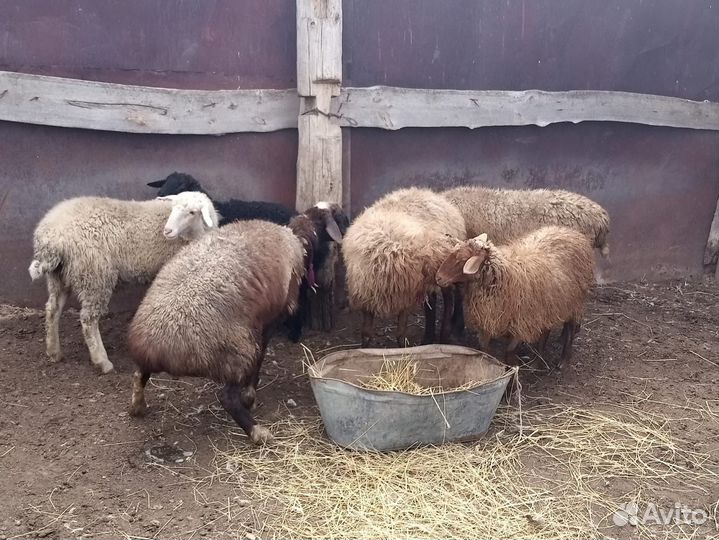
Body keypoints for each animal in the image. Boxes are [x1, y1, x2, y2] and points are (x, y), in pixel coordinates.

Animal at [28, 192, 218, 374]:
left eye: (192, 212)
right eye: (173, 208)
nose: (168, 231)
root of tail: (50, 239)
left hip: (59, 276)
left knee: (52, 309)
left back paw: (54, 352)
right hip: (95, 275)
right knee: (88, 319)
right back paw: (102, 361)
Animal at [126, 207, 344, 444]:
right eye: (338, 216)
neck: (298, 238)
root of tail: (157, 347)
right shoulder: (268, 321)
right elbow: (260, 356)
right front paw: (249, 396)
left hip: (166, 357)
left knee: (140, 374)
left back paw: (137, 406)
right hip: (235, 352)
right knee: (226, 397)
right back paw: (257, 431)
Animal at [342, 187, 466, 347]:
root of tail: (429, 193)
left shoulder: (404, 299)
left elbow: (401, 334)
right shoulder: (367, 298)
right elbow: (366, 334)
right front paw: (365, 348)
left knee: (450, 298)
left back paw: (445, 334)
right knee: (439, 299)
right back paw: (430, 336)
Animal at [435, 226, 595, 368]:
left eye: (462, 259)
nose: (438, 278)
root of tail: (573, 232)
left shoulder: (520, 324)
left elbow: (509, 352)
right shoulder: (486, 323)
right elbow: (486, 351)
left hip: (574, 301)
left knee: (570, 327)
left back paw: (563, 361)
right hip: (547, 305)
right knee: (545, 330)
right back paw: (536, 362)